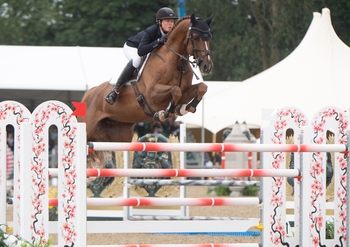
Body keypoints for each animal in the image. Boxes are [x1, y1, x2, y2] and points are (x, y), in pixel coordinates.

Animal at [82, 14, 213, 168]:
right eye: (196, 37)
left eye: (209, 37)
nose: (207, 67)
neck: (175, 62)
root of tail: (89, 93)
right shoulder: (152, 95)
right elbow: (175, 91)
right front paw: (166, 112)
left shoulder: (186, 91)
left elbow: (201, 87)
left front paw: (185, 108)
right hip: (88, 127)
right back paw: (111, 96)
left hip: (120, 134)